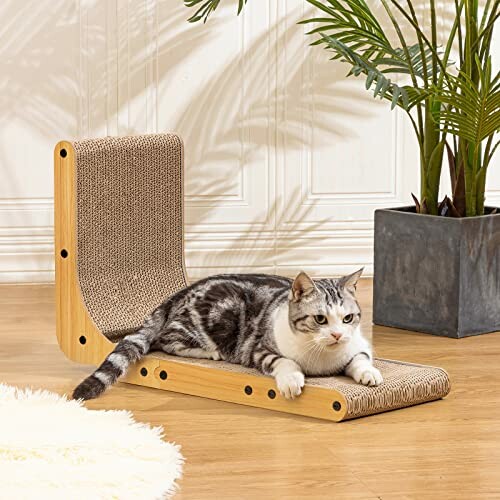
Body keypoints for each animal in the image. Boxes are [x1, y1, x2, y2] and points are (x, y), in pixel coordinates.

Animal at [71, 268, 382, 400]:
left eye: (348, 318)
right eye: (320, 319)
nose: (337, 335)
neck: (323, 360)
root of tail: (178, 293)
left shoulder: (358, 344)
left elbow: (361, 357)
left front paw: (369, 373)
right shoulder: (259, 349)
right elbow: (285, 362)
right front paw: (292, 381)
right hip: (219, 317)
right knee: (164, 339)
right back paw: (211, 352)